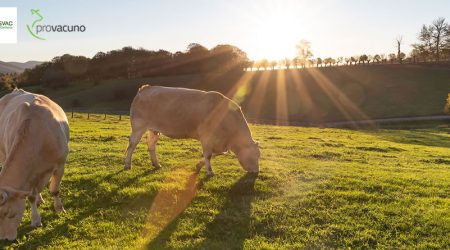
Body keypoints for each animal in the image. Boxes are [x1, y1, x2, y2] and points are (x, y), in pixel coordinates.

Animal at [0, 89, 68, 240]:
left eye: (9, 213)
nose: (4, 239)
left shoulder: (60, 164)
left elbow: (55, 190)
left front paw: (59, 208)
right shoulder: (30, 175)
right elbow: (30, 196)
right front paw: (36, 219)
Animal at [125, 85, 260, 175]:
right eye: (255, 156)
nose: (256, 172)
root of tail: (145, 88)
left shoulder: (217, 143)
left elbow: (214, 154)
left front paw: (199, 165)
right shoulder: (206, 136)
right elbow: (208, 155)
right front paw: (209, 172)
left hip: (154, 129)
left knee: (151, 145)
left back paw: (156, 164)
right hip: (138, 127)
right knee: (132, 145)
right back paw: (127, 165)